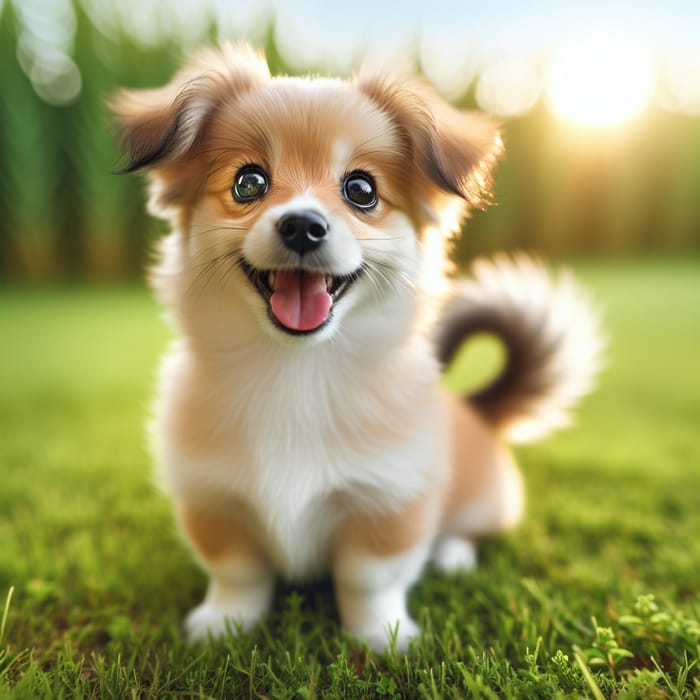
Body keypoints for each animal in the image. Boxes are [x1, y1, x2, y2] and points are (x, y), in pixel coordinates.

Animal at [109, 43, 600, 652]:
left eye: (361, 191)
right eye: (248, 183)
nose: (301, 225)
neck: (296, 371)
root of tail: (477, 411)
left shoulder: (391, 500)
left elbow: (368, 579)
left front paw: (381, 638)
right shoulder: (213, 499)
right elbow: (238, 573)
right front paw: (225, 625)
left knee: (464, 531)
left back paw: (453, 555)